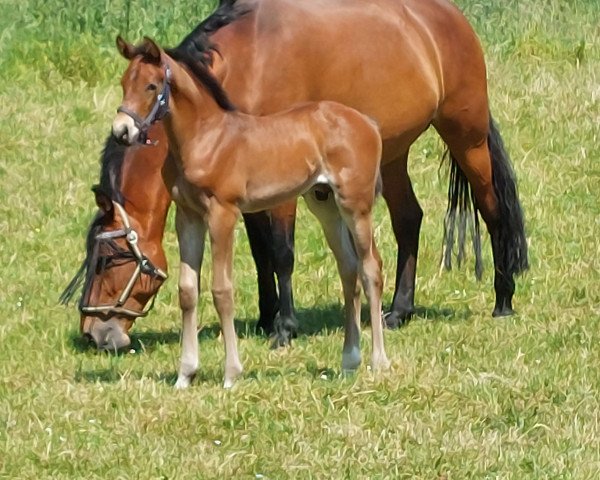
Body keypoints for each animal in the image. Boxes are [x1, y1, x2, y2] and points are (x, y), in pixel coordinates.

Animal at [63, 0, 528, 352]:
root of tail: (449, 17)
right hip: (393, 153)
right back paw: (398, 310)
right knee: (407, 219)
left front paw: (284, 327)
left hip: (465, 135)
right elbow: (260, 253)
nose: (93, 334)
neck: (245, 64)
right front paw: (266, 316)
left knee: (491, 208)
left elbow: (282, 252)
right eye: (123, 81)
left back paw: (503, 299)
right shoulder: (245, 184)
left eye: (109, 258)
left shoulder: (282, 186)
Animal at [113, 38, 390, 390]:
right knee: (349, 269)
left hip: (356, 205)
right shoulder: (188, 216)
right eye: (124, 83)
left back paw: (379, 361)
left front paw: (231, 374)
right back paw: (349, 361)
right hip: (325, 204)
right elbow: (188, 290)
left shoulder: (223, 213)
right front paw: (185, 374)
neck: (205, 138)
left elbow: (222, 290)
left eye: (151, 85)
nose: (122, 131)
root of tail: (369, 123)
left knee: (371, 269)